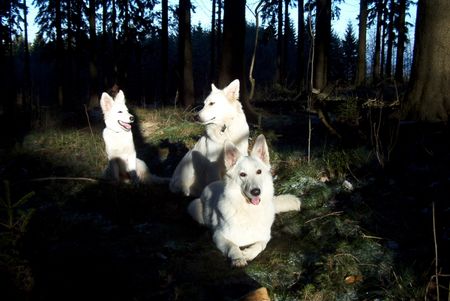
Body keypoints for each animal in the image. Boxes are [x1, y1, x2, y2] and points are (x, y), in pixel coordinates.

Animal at [188, 135, 300, 266]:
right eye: (242, 174)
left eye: (259, 172)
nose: (256, 192)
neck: (248, 210)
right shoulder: (219, 236)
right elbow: (232, 246)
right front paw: (238, 258)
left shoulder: (265, 236)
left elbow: (261, 245)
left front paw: (248, 253)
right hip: (194, 207)